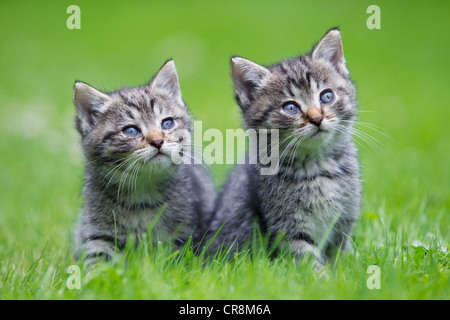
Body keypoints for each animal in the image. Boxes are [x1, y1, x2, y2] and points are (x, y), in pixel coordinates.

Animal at [73, 59, 215, 262]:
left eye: (167, 123)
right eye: (131, 130)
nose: (157, 141)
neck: (142, 195)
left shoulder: (185, 232)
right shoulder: (97, 231)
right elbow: (97, 257)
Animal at [208, 29, 362, 270]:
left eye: (327, 96)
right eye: (290, 107)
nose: (317, 118)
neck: (317, 167)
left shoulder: (343, 221)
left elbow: (339, 255)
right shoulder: (287, 227)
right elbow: (307, 259)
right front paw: (322, 278)